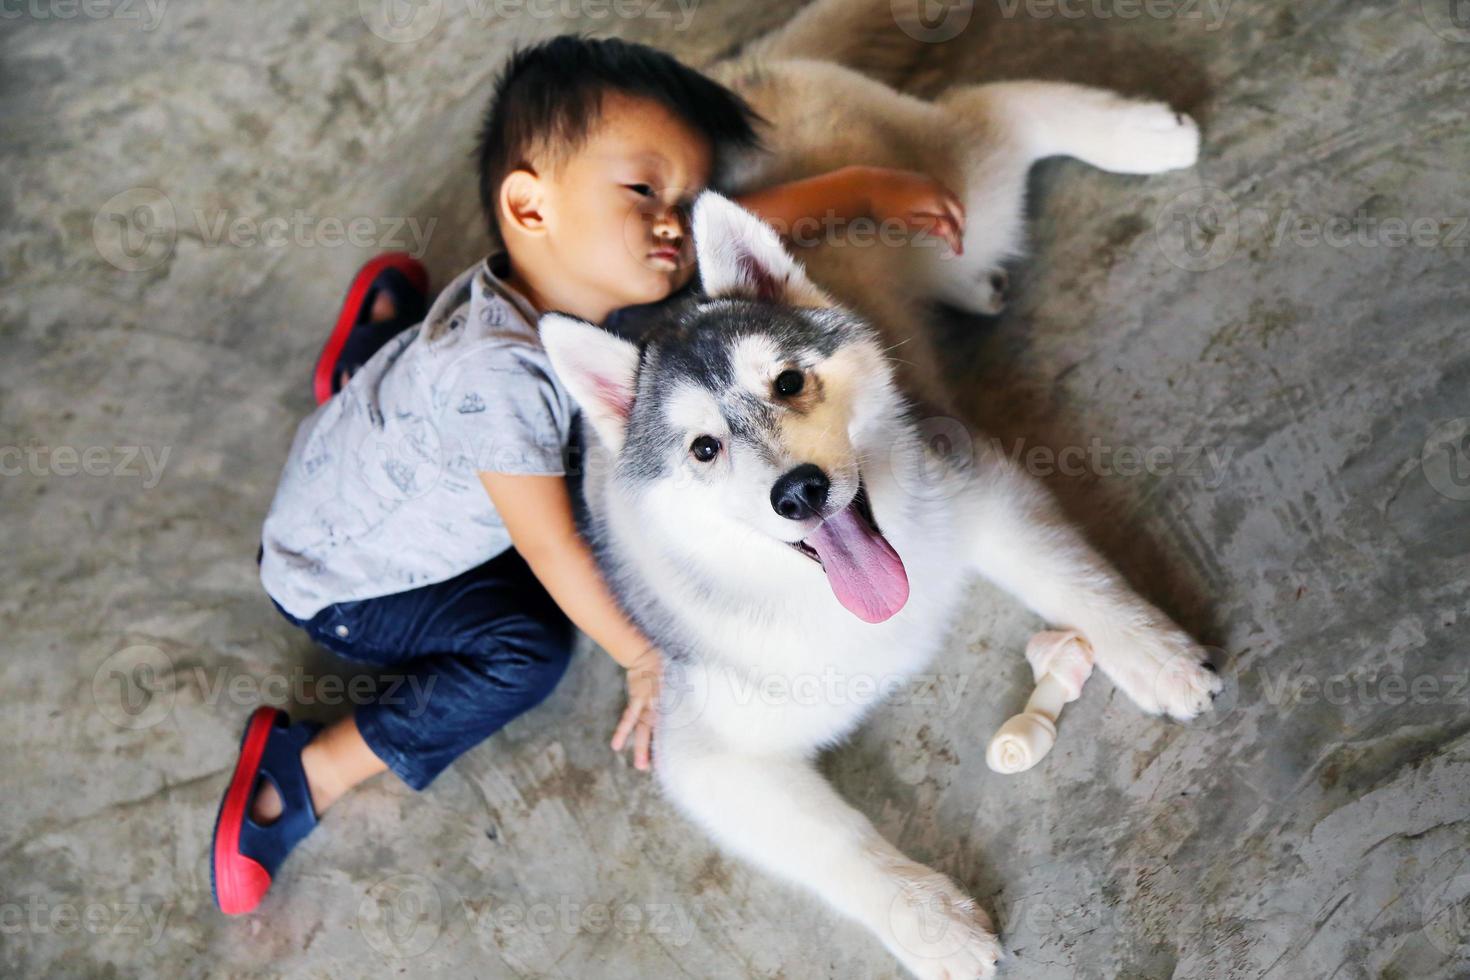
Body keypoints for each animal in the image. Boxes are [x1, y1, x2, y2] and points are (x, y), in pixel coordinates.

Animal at [535, 26, 1211, 975]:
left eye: (788, 382)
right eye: (704, 449)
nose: (799, 491)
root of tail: (739, 68)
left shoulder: (969, 482)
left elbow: (1078, 581)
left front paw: (1152, 653)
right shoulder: (708, 751)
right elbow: (834, 845)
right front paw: (929, 921)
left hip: (944, 197)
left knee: (985, 113)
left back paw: (1141, 132)